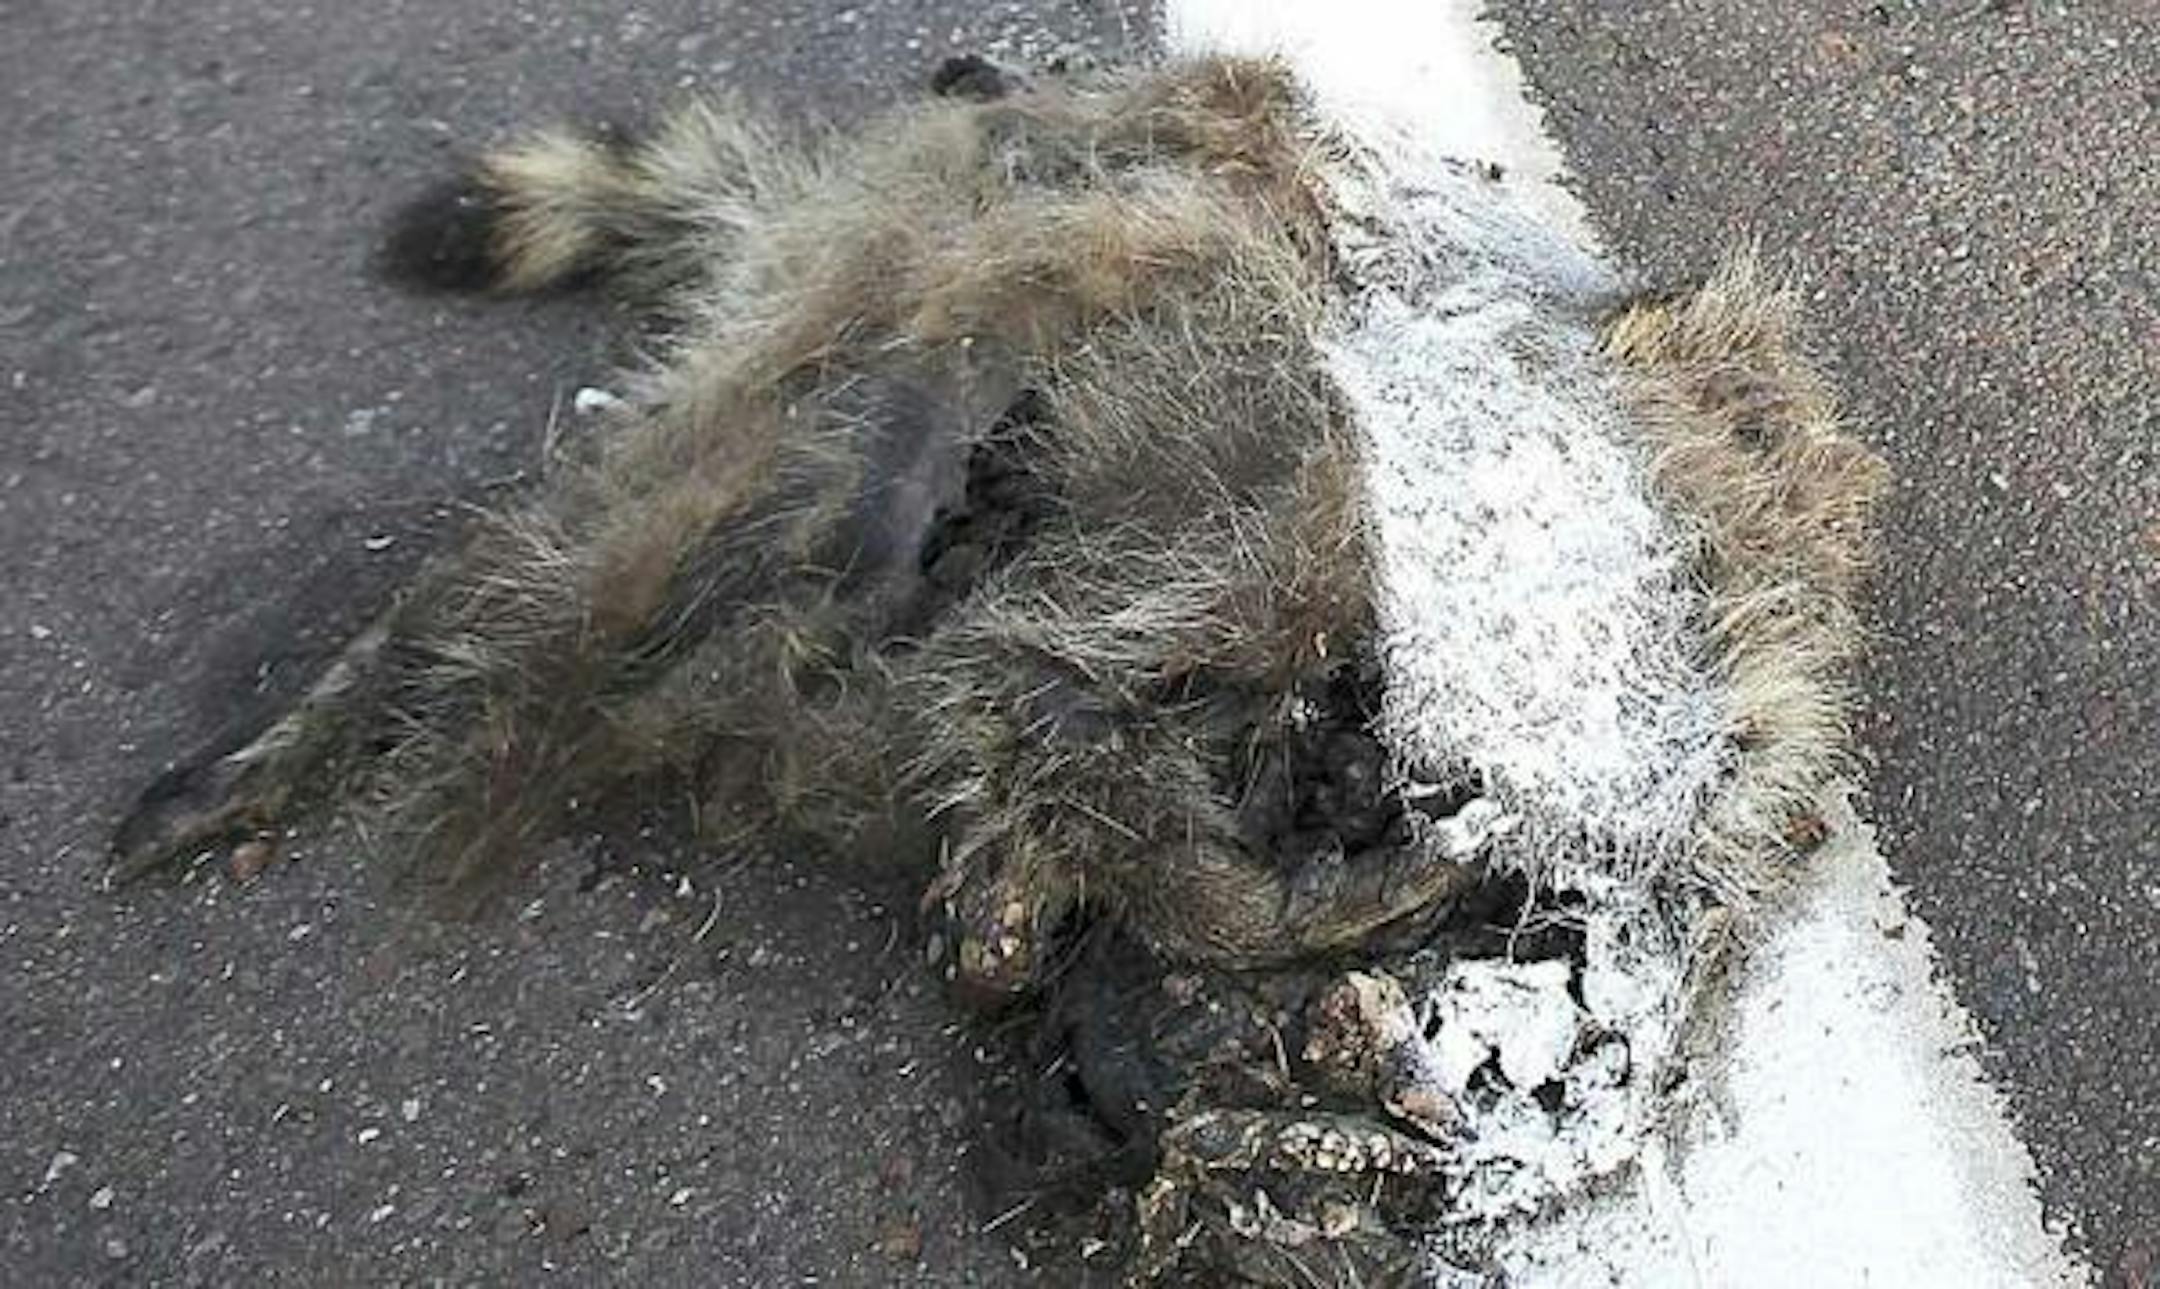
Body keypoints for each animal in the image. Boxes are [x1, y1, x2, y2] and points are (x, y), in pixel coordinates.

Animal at [112, 53, 1883, 1284]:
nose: (1088, 1107)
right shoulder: (1274, 558)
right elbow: (1072, 709)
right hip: (879, 351)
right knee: (592, 563)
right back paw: (349, 699)